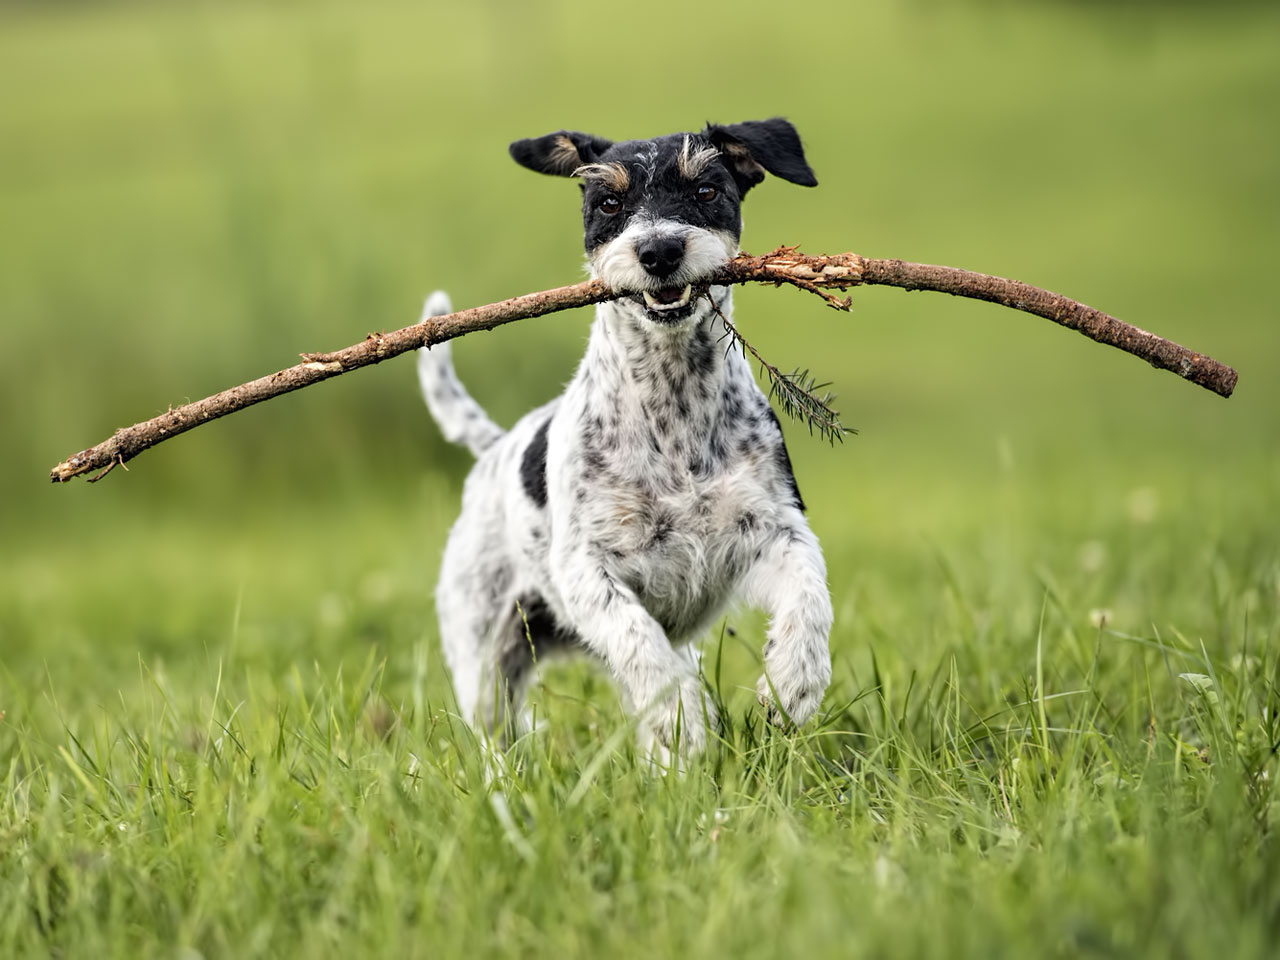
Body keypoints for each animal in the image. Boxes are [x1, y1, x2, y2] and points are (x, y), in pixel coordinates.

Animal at [419, 118, 834, 757]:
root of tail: (495, 447)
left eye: (706, 190)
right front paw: (682, 721)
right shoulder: (588, 570)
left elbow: (809, 596)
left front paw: (791, 685)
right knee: (495, 733)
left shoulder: (773, 527)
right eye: (609, 203)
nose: (659, 250)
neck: (672, 409)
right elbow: (642, 646)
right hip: (485, 648)